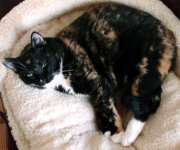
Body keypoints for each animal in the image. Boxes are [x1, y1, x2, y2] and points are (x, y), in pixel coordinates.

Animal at [3, 2, 177, 146]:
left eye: (43, 63)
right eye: (29, 75)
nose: (42, 79)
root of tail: (169, 33)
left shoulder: (98, 81)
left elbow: (104, 106)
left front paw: (114, 132)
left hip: (144, 69)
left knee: (148, 102)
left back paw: (127, 137)